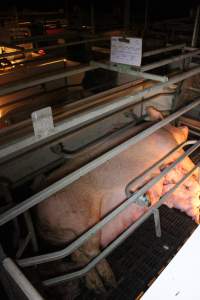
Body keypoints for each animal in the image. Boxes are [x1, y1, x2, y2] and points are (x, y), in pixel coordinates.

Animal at [35, 107, 200, 292]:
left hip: (69, 234)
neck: (163, 129)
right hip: (83, 221)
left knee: (78, 256)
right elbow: (189, 164)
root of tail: (39, 219)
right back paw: (109, 283)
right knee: (91, 253)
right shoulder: (173, 148)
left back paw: (98, 286)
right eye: (172, 123)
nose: (185, 126)